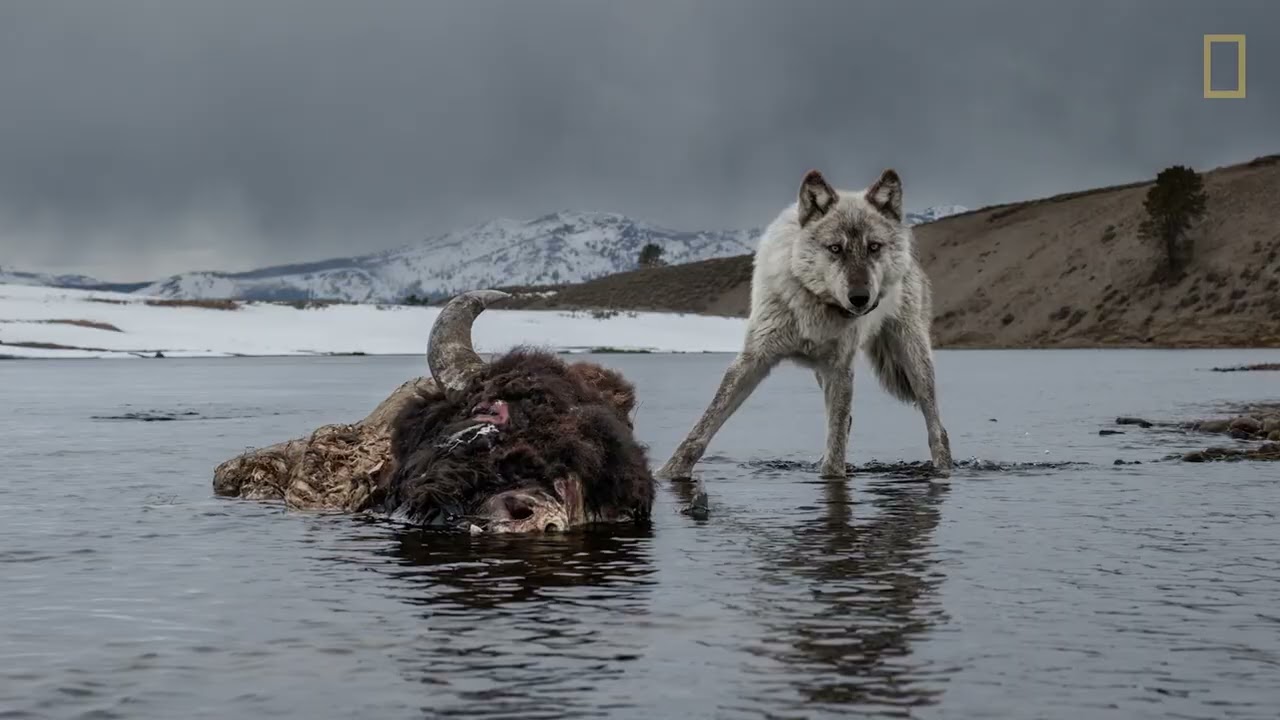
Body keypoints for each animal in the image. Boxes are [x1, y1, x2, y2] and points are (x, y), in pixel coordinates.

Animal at [656, 167, 952, 482]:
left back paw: (944, 467)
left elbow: (835, 449)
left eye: (874, 247)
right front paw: (668, 472)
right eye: (835, 248)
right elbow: (704, 425)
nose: (860, 298)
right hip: (826, 374)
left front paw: (833, 475)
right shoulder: (755, 359)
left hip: (914, 361)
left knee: (937, 429)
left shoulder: (840, 370)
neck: (815, 306)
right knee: (847, 422)